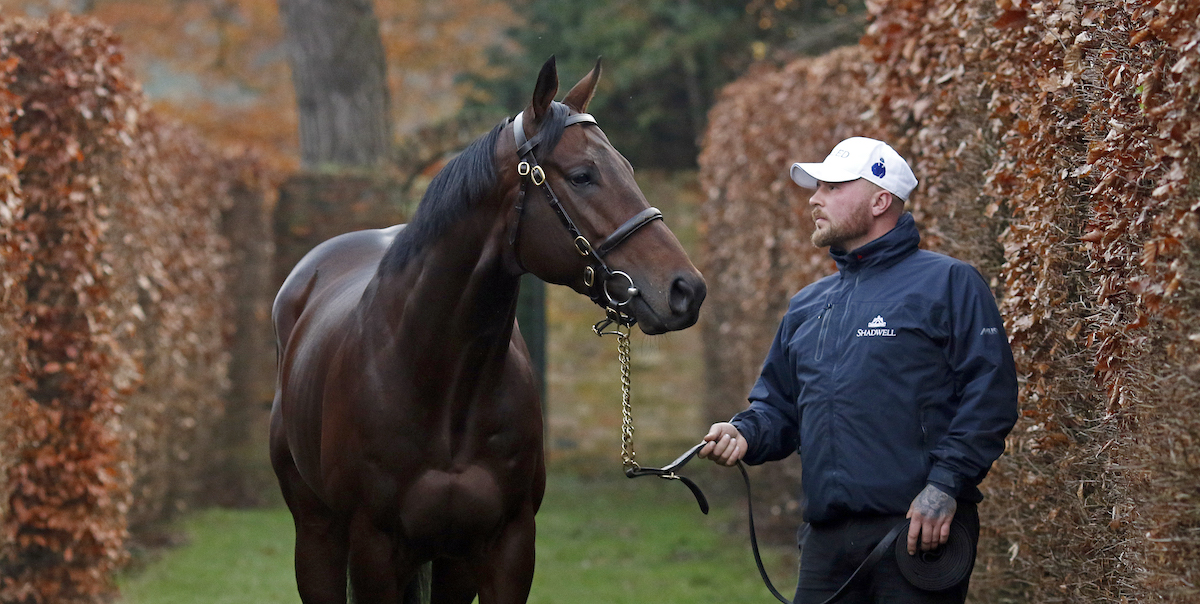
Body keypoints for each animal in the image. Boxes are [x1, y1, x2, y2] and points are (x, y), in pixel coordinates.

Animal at [270, 56, 700, 604]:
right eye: (582, 176)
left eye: (627, 168)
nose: (686, 289)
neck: (440, 379)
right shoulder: (372, 550)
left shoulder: (504, 548)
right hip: (317, 536)